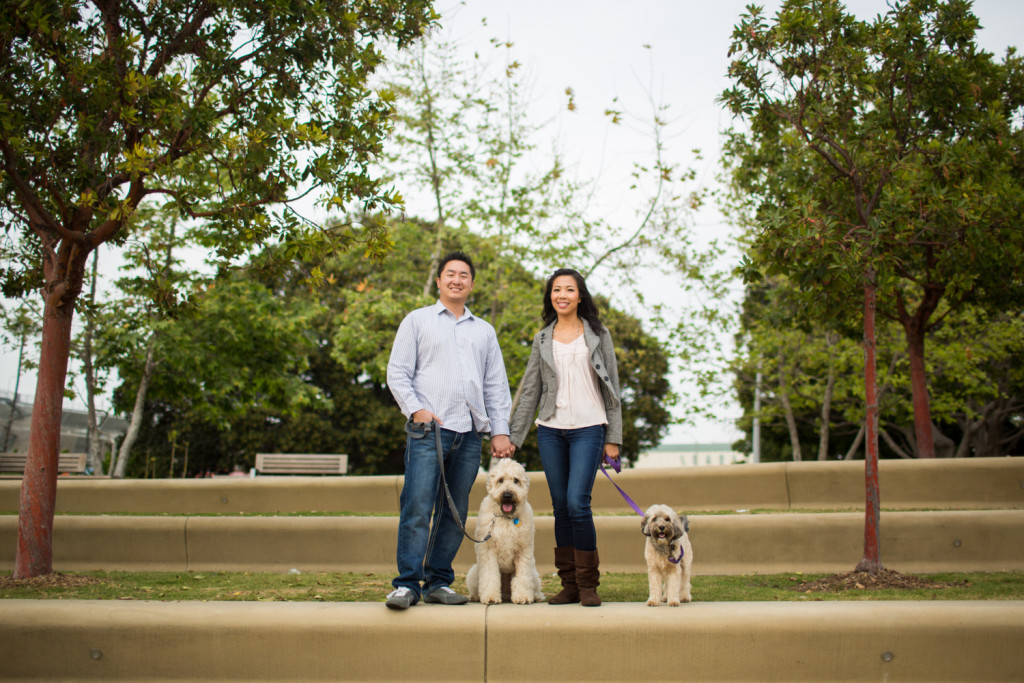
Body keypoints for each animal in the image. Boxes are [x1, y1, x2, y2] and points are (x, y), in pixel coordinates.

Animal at [466, 458, 544, 602]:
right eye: (500, 480)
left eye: (516, 480)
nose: (507, 495)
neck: (505, 517)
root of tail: (506, 594)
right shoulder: (488, 551)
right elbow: (490, 577)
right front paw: (490, 596)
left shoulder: (522, 551)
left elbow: (522, 577)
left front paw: (523, 596)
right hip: (474, 572)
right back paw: (475, 596)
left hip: (534, 574)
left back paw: (537, 596)